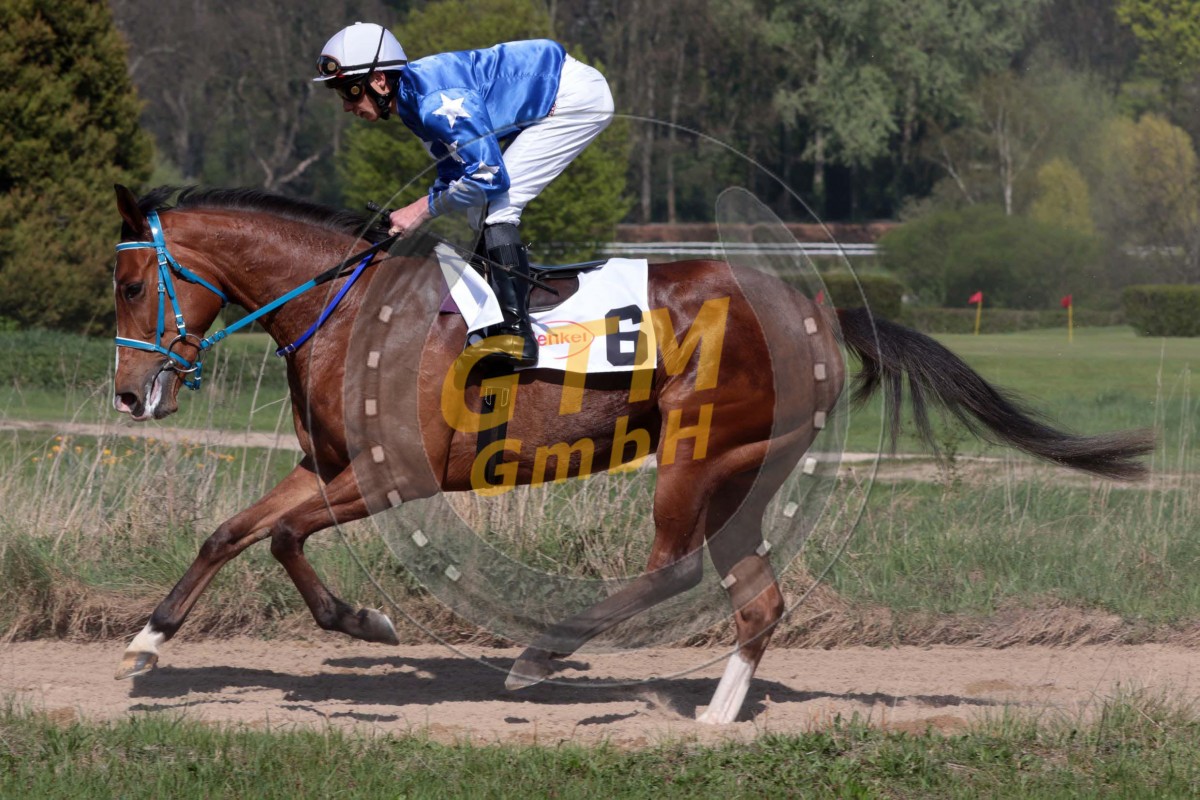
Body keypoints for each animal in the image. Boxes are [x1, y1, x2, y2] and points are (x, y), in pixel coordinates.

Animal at [110, 184, 1153, 724]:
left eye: (127, 284)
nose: (127, 393)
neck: (348, 311)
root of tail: (818, 313)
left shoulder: (386, 475)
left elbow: (276, 538)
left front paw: (362, 622)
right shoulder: (327, 468)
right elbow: (236, 533)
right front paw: (156, 637)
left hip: (699, 452)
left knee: (671, 565)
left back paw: (541, 657)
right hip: (749, 466)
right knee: (755, 594)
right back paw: (720, 715)